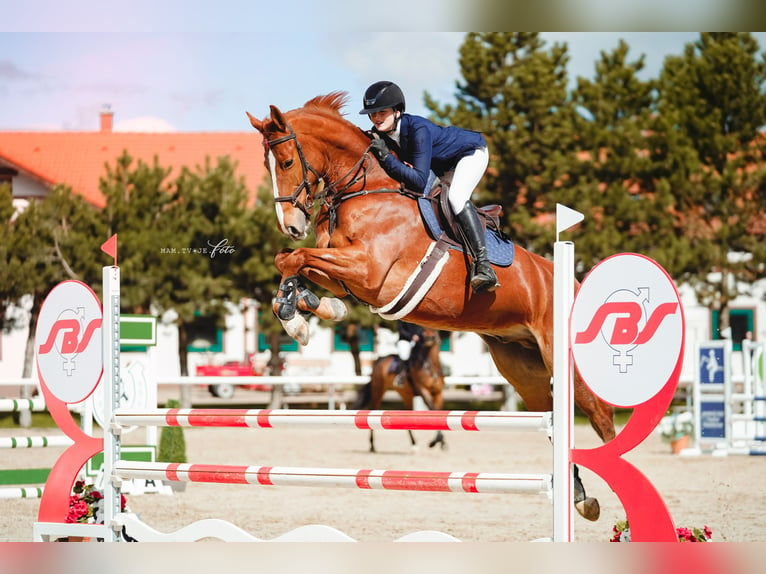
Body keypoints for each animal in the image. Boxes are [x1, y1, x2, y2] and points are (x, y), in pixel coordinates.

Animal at [246, 91, 616, 520]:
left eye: (287, 162)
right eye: (266, 165)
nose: (291, 225)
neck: (366, 190)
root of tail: (573, 281)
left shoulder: (370, 272)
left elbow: (296, 256)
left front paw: (299, 313)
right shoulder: (344, 275)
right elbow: (291, 260)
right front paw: (302, 310)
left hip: (563, 361)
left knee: (601, 417)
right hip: (523, 369)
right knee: (554, 419)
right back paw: (580, 496)